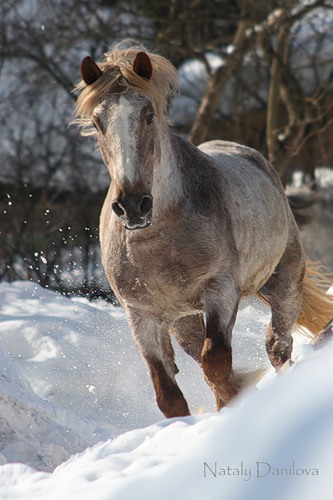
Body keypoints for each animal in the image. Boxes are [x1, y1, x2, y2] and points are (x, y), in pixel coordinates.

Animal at [74, 44, 332, 418]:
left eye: (149, 115)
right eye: (97, 122)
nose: (133, 205)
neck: (158, 240)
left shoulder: (220, 291)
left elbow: (217, 362)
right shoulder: (141, 314)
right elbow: (168, 393)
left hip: (284, 283)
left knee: (277, 346)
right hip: (184, 321)